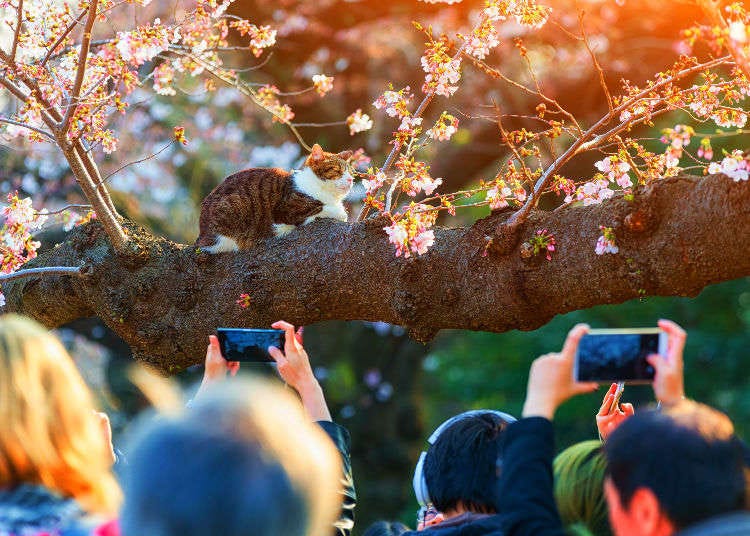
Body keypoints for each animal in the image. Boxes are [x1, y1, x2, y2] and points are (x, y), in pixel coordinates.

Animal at [197, 144, 356, 253]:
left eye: (351, 173)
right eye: (337, 170)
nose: (350, 180)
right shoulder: (287, 211)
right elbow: (322, 208)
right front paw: (340, 212)